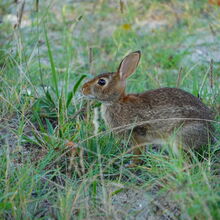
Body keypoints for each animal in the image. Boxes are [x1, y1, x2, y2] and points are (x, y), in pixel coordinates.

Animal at [81, 50, 214, 165]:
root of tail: (210, 135)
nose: (83, 88)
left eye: (101, 82)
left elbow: (137, 153)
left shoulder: (137, 135)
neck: (117, 101)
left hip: (179, 137)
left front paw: (132, 165)